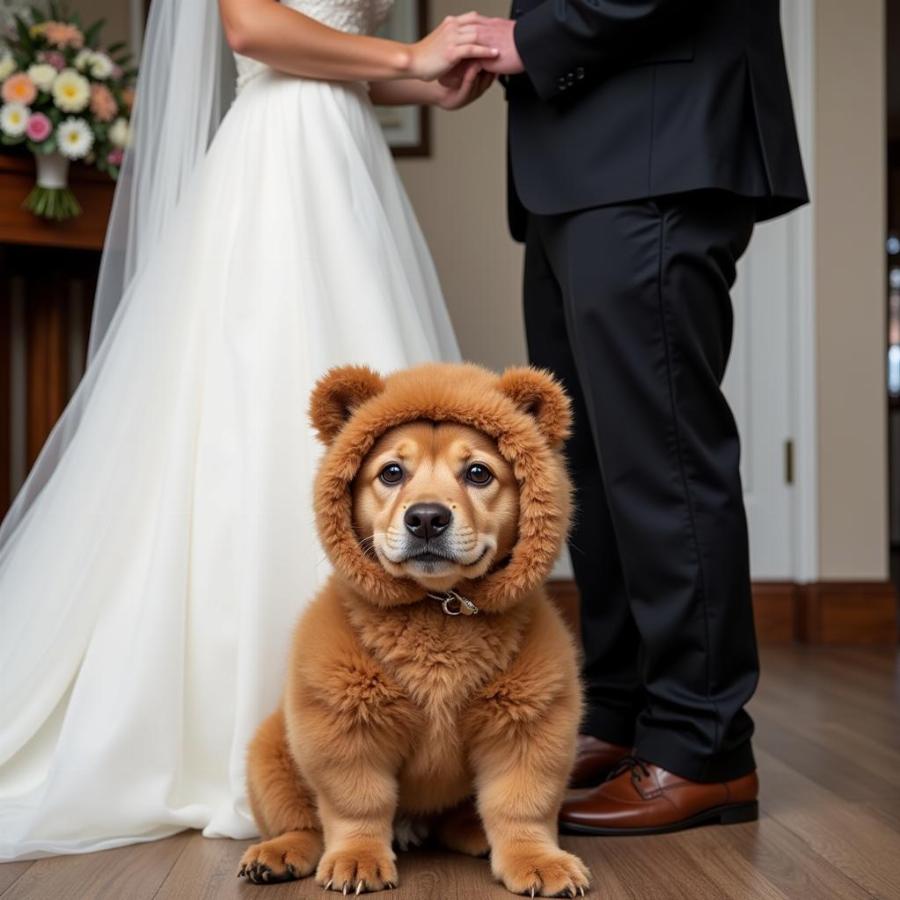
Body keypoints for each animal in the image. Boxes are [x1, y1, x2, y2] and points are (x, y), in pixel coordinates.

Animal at [239, 362, 592, 896]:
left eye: (478, 473)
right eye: (391, 472)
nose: (426, 517)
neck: (438, 612)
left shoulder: (528, 725)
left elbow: (520, 807)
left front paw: (536, 860)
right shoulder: (344, 728)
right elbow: (357, 806)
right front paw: (359, 858)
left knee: (461, 818)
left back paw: (475, 833)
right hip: (270, 753)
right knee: (302, 822)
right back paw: (279, 853)